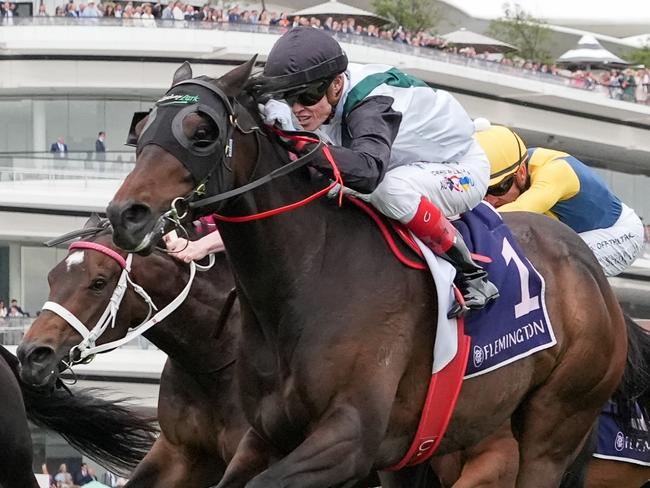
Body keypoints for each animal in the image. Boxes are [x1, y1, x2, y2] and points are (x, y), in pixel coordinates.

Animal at [104, 61, 644, 488]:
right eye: (143, 128)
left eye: (202, 132)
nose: (125, 215)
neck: (310, 275)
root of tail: (591, 272)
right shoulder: (265, 435)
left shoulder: (349, 439)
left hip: (553, 427)